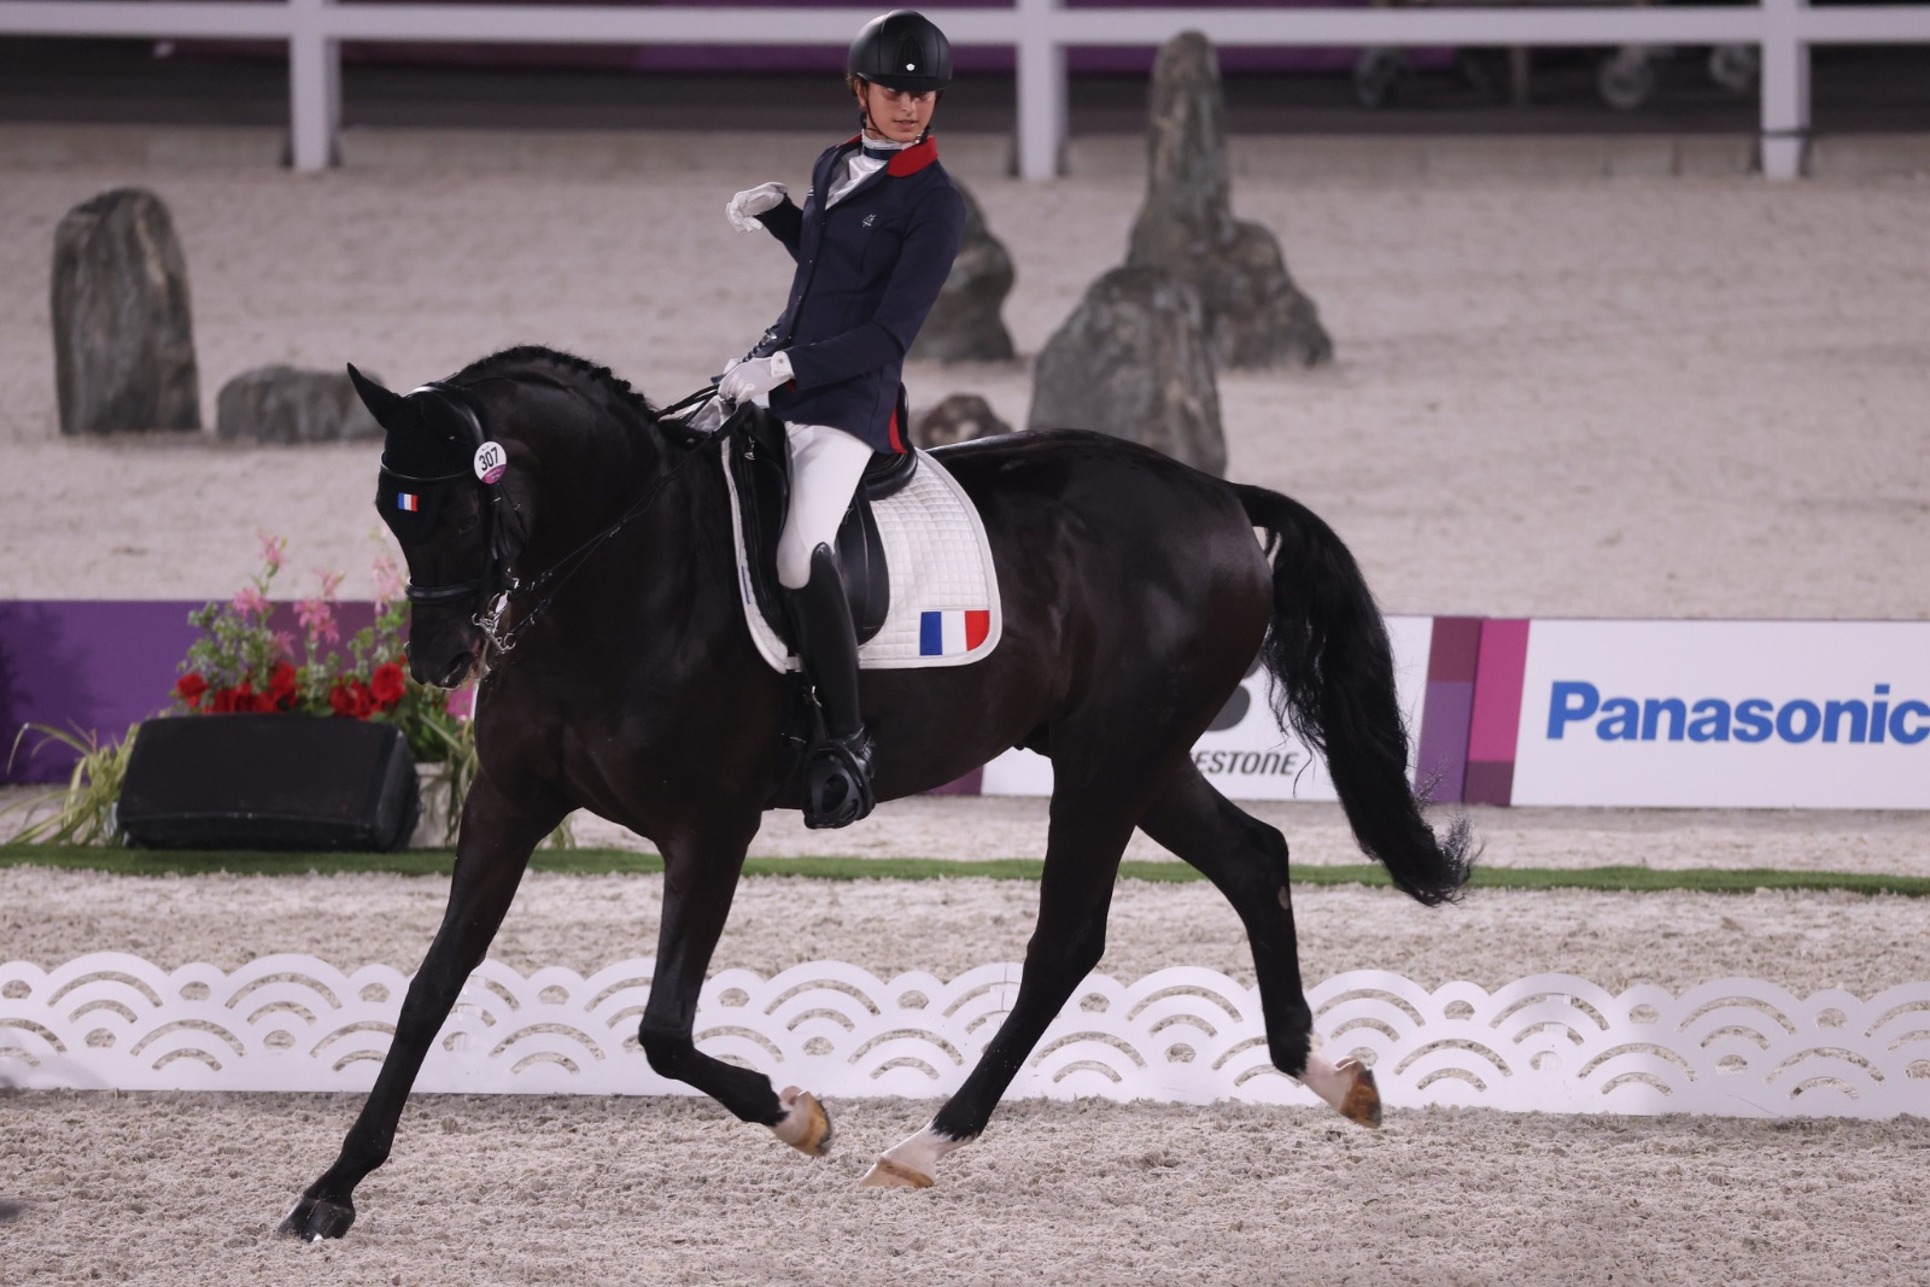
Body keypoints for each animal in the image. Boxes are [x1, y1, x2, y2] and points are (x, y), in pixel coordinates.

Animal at [275, 347, 1474, 1242]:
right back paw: (1330, 1078)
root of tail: (1219, 496)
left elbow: (663, 1028)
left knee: (1068, 937)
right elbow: (431, 988)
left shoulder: (708, 827)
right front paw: (331, 1189)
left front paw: (799, 1116)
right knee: (1254, 860)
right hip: (1137, 756)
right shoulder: (509, 806)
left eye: (452, 508)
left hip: (1107, 761)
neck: (627, 572)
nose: (437, 660)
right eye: (391, 508)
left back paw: (926, 1140)